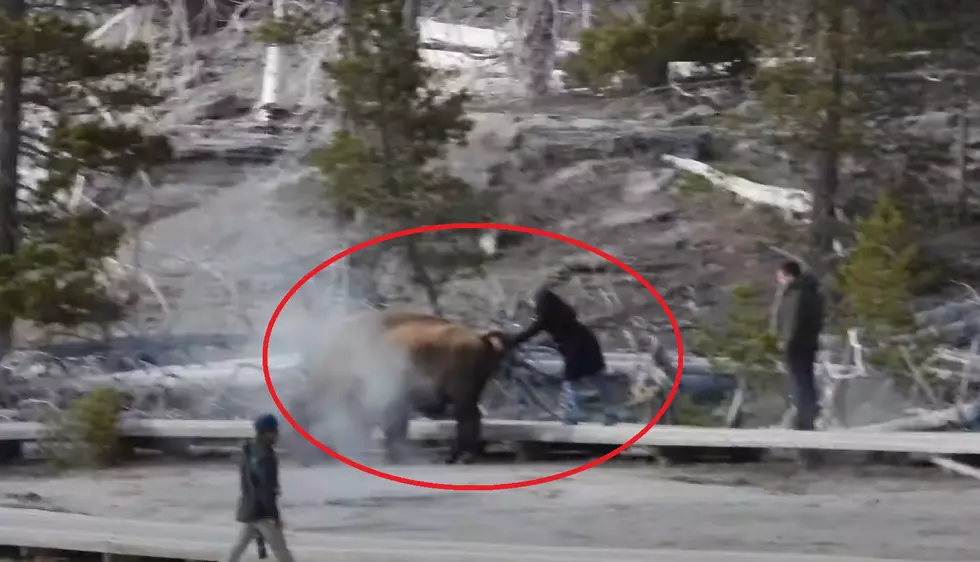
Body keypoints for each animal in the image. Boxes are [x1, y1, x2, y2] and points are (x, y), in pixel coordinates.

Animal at [296, 308, 512, 462]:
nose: (303, 456)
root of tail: (479, 337)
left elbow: (391, 426)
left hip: (462, 395)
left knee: (467, 420)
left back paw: (458, 456)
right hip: (470, 394)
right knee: (472, 419)